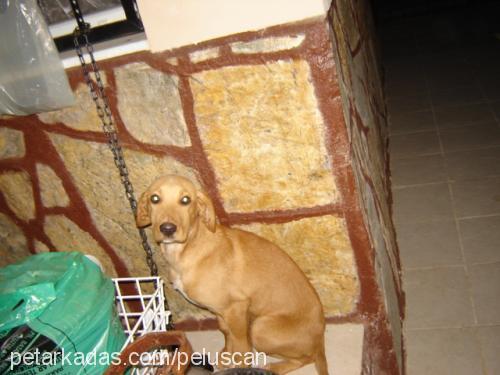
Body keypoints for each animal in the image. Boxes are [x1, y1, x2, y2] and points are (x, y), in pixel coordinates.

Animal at [136, 176, 328, 375]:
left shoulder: (237, 307)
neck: (188, 250)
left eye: (185, 200)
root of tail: (320, 339)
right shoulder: (221, 311)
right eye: (155, 198)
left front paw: (240, 364)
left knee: (306, 358)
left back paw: (276, 366)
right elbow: (226, 333)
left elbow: (242, 347)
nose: (167, 229)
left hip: (260, 328)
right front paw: (227, 356)